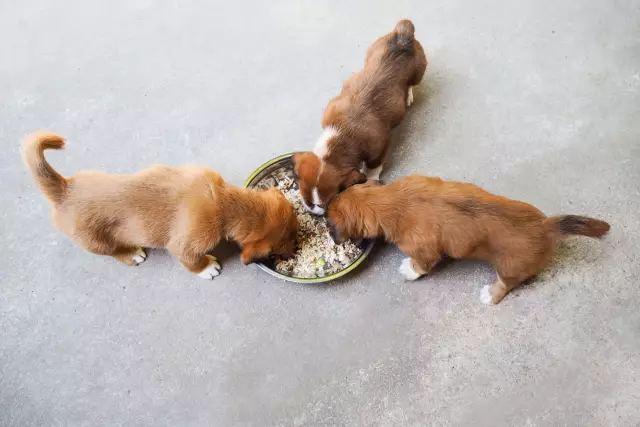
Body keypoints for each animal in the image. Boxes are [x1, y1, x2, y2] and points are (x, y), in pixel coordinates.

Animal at [21, 131, 298, 278]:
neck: (223, 202)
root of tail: (63, 190)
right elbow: (191, 261)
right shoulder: (186, 244)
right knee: (113, 251)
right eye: (284, 244)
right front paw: (207, 268)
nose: (295, 251)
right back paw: (132, 253)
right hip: (97, 242)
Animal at [292, 18, 428, 216]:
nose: (312, 210)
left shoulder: (380, 147)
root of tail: (403, 35)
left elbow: (373, 167)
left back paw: (408, 96)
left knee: (411, 84)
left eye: (327, 201)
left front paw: (371, 177)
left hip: (418, 72)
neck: (342, 133)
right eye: (305, 196)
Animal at [328, 177, 612, 304]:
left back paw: (490, 294)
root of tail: (545, 226)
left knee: (505, 285)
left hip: (508, 269)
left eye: (330, 224)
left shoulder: (424, 252)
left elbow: (420, 265)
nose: (332, 237)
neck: (390, 200)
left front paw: (408, 270)